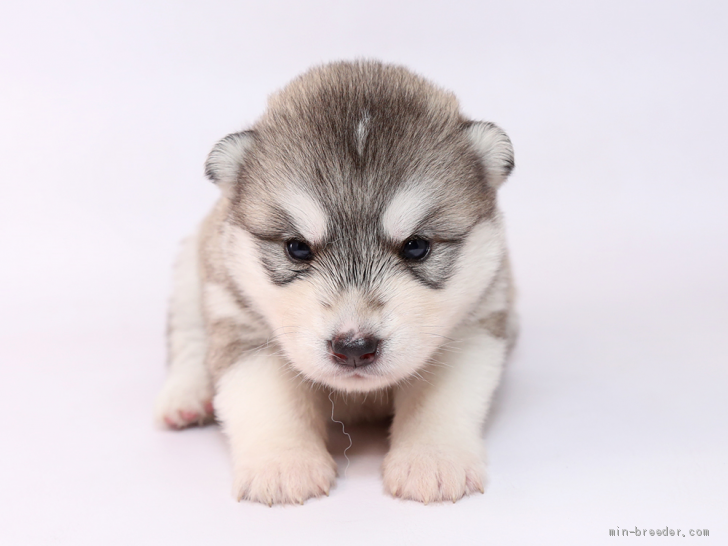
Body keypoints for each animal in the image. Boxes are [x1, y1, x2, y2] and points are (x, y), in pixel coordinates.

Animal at [154, 59, 516, 502]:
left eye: (416, 247)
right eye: (297, 248)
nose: (354, 348)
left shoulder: (472, 325)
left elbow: (440, 398)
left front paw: (433, 460)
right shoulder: (242, 324)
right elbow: (268, 398)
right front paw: (283, 464)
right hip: (193, 268)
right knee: (188, 337)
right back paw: (187, 396)